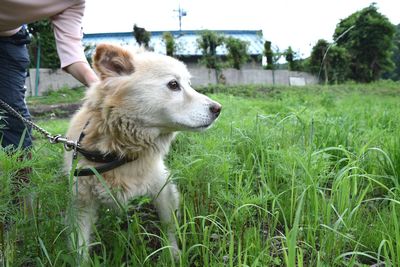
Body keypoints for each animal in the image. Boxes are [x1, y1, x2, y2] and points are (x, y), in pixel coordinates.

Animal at [64, 44, 223, 260]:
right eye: (174, 84)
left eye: (189, 84)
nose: (218, 109)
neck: (120, 151)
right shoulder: (81, 203)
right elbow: (79, 247)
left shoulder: (163, 189)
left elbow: (169, 228)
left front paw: (173, 255)